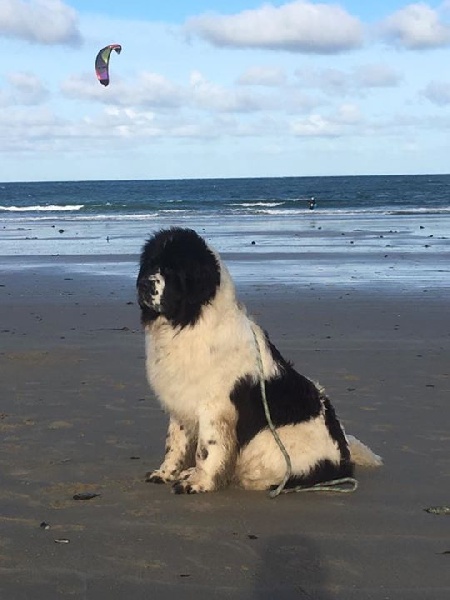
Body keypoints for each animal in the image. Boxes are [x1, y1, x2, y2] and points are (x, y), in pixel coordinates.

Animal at [135, 227, 382, 494]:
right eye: (150, 264)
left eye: (172, 270)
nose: (143, 284)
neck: (187, 323)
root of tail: (343, 461)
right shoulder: (180, 400)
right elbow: (174, 443)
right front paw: (166, 473)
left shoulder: (214, 407)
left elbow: (207, 449)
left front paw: (199, 482)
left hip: (271, 442)